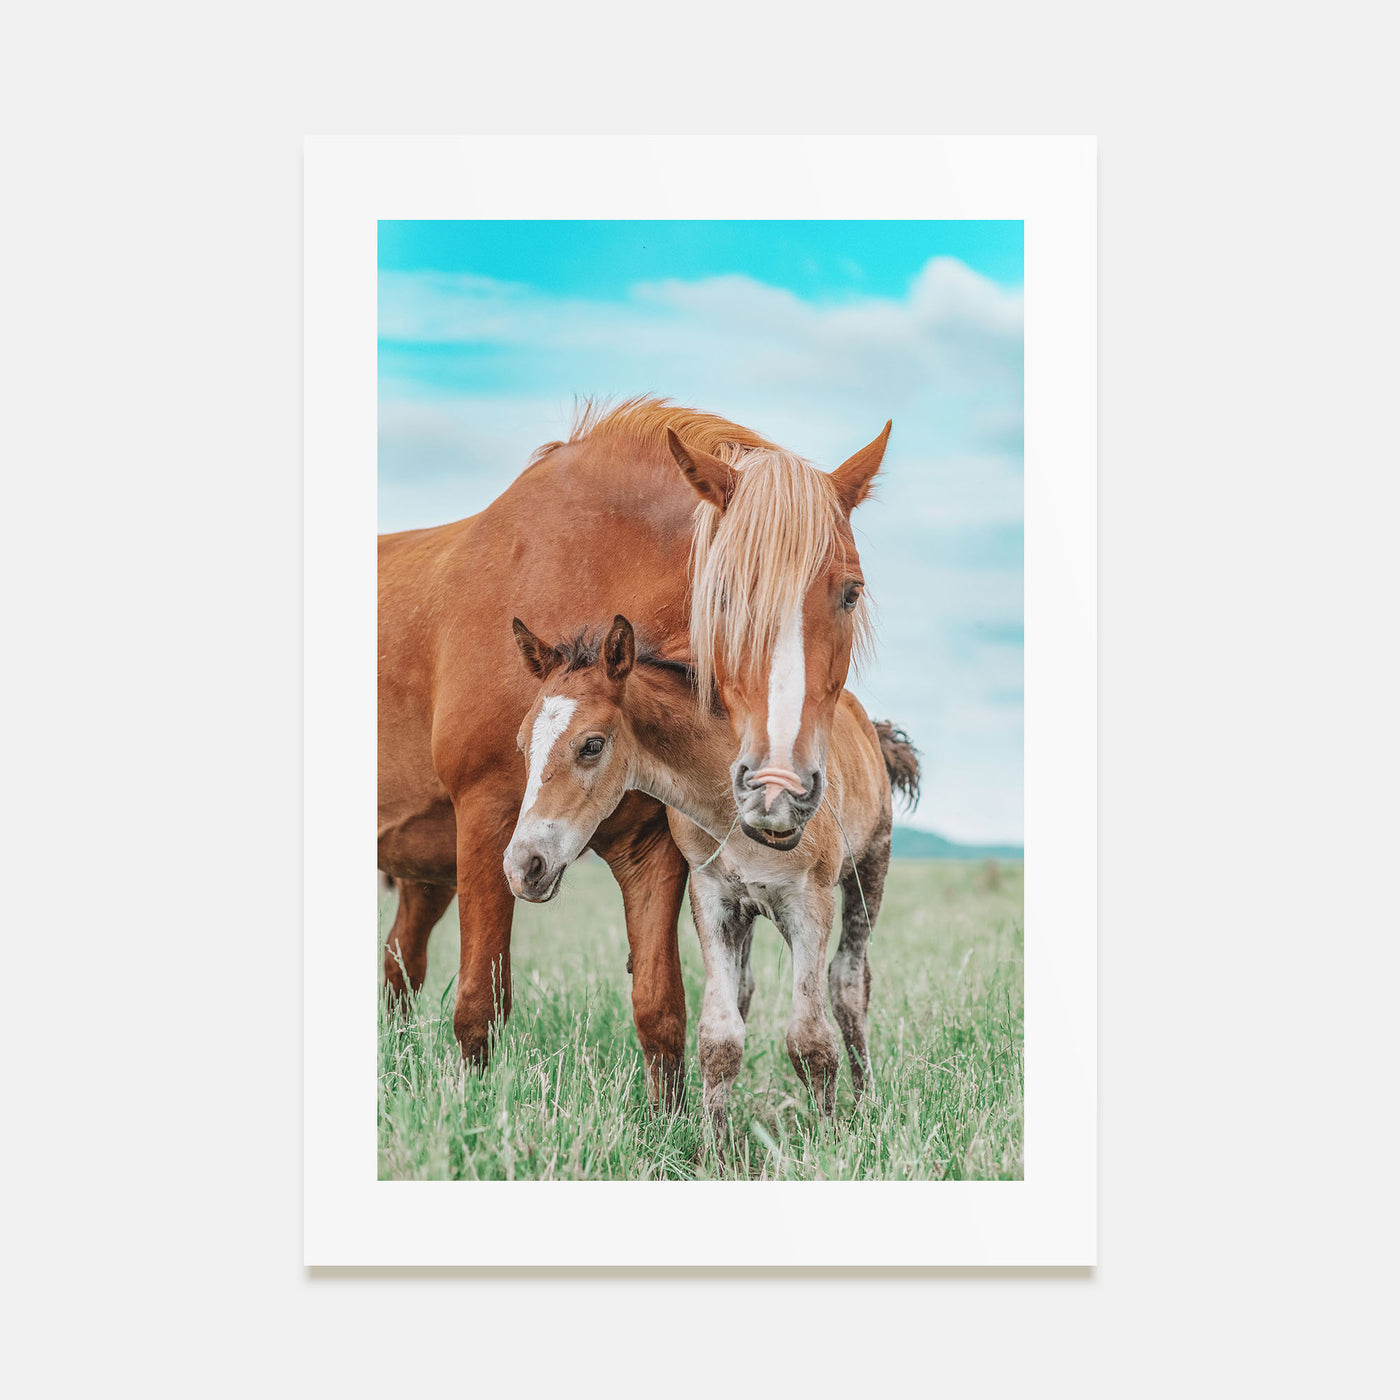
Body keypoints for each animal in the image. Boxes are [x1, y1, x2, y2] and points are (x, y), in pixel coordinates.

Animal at [378, 398, 890, 1107]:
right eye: (721, 595)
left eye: (851, 591)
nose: (778, 789)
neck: (590, 567)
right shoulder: (487, 820)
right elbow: (481, 1002)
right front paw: (473, 1115)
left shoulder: (655, 850)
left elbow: (661, 1007)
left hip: (425, 874)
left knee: (399, 972)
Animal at [503, 615, 921, 1127]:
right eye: (522, 744)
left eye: (592, 745)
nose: (523, 866)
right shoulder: (713, 898)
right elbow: (720, 1039)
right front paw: (714, 1145)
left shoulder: (810, 902)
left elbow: (811, 1040)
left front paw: (829, 1140)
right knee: (746, 988)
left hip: (870, 868)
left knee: (848, 981)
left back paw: (864, 1104)